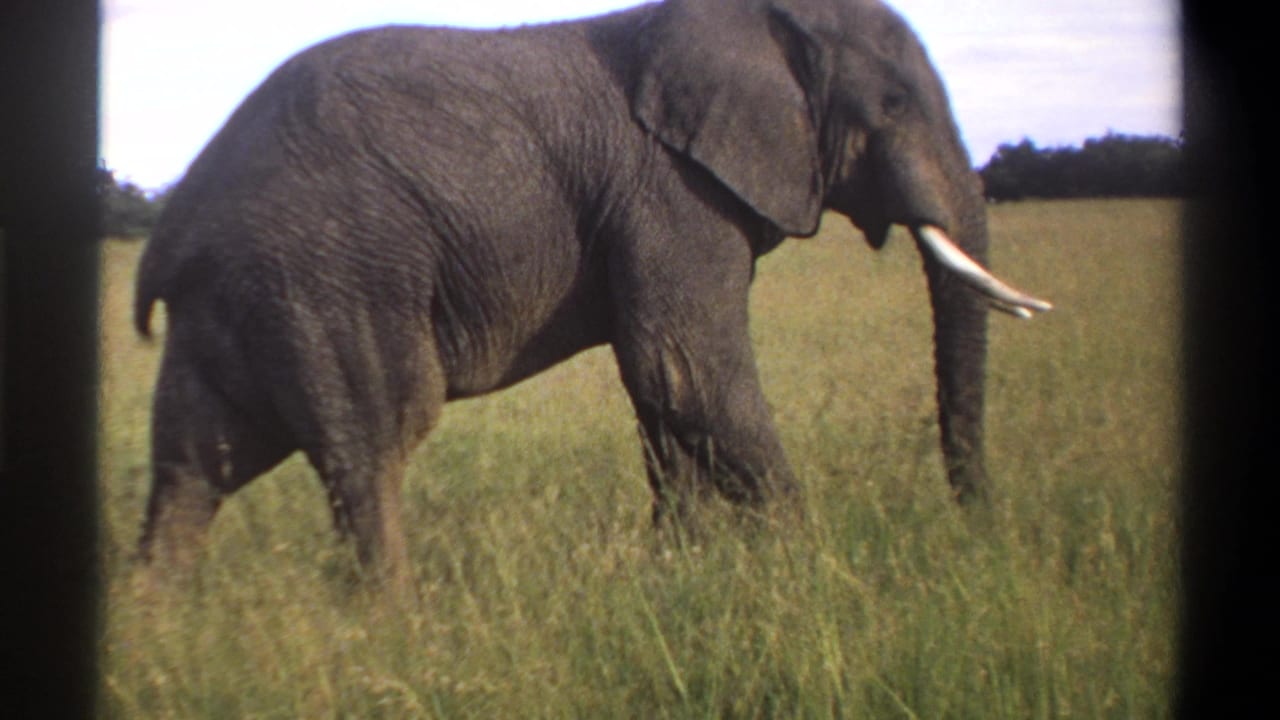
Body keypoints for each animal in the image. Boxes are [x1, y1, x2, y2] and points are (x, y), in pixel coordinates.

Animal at [132, 0, 1051, 591]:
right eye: (892, 102)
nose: (979, 528)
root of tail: (175, 223)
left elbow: (664, 396)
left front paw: (681, 575)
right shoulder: (670, 191)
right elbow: (689, 374)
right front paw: (815, 568)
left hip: (237, 300)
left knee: (193, 468)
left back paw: (160, 630)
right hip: (327, 278)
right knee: (372, 447)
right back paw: (393, 627)